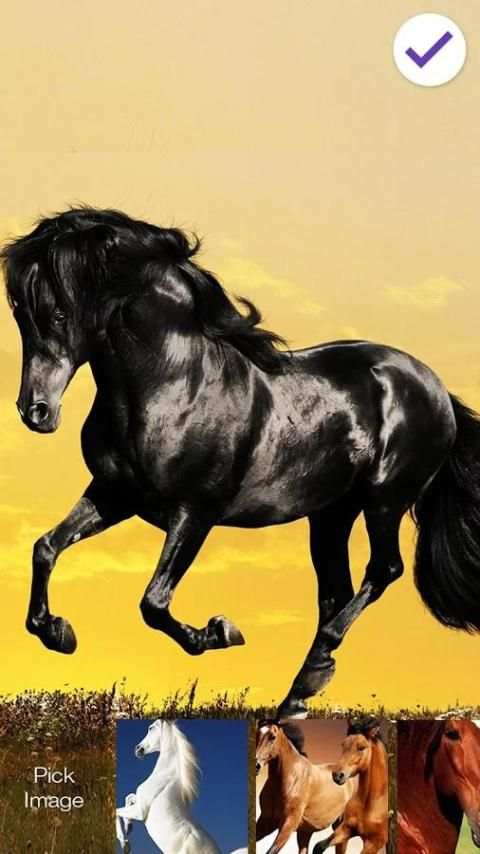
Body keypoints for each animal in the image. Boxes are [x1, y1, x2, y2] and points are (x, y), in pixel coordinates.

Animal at [4, 206, 480, 718]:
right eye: (19, 313)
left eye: (58, 312)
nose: (35, 412)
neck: (172, 385)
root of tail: (435, 388)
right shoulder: (114, 495)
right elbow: (46, 548)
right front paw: (58, 633)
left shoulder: (195, 512)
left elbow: (154, 602)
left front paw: (219, 632)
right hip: (331, 514)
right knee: (336, 591)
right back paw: (296, 697)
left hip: (384, 501)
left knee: (382, 571)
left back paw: (314, 669)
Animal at [116, 719, 224, 854]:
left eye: (151, 728)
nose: (138, 749)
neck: (165, 776)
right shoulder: (138, 802)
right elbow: (129, 797)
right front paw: (128, 827)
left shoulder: (139, 811)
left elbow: (116, 811)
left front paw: (125, 844)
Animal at [255, 720, 355, 853]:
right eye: (257, 734)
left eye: (273, 737)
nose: (256, 765)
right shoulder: (266, 821)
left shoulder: (288, 823)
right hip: (305, 832)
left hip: (340, 825)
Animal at [314, 718, 388, 854]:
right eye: (343, 744)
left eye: (361, 747)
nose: (337, 775)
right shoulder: (346, 828)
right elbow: (319, 846)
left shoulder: (374, 843)